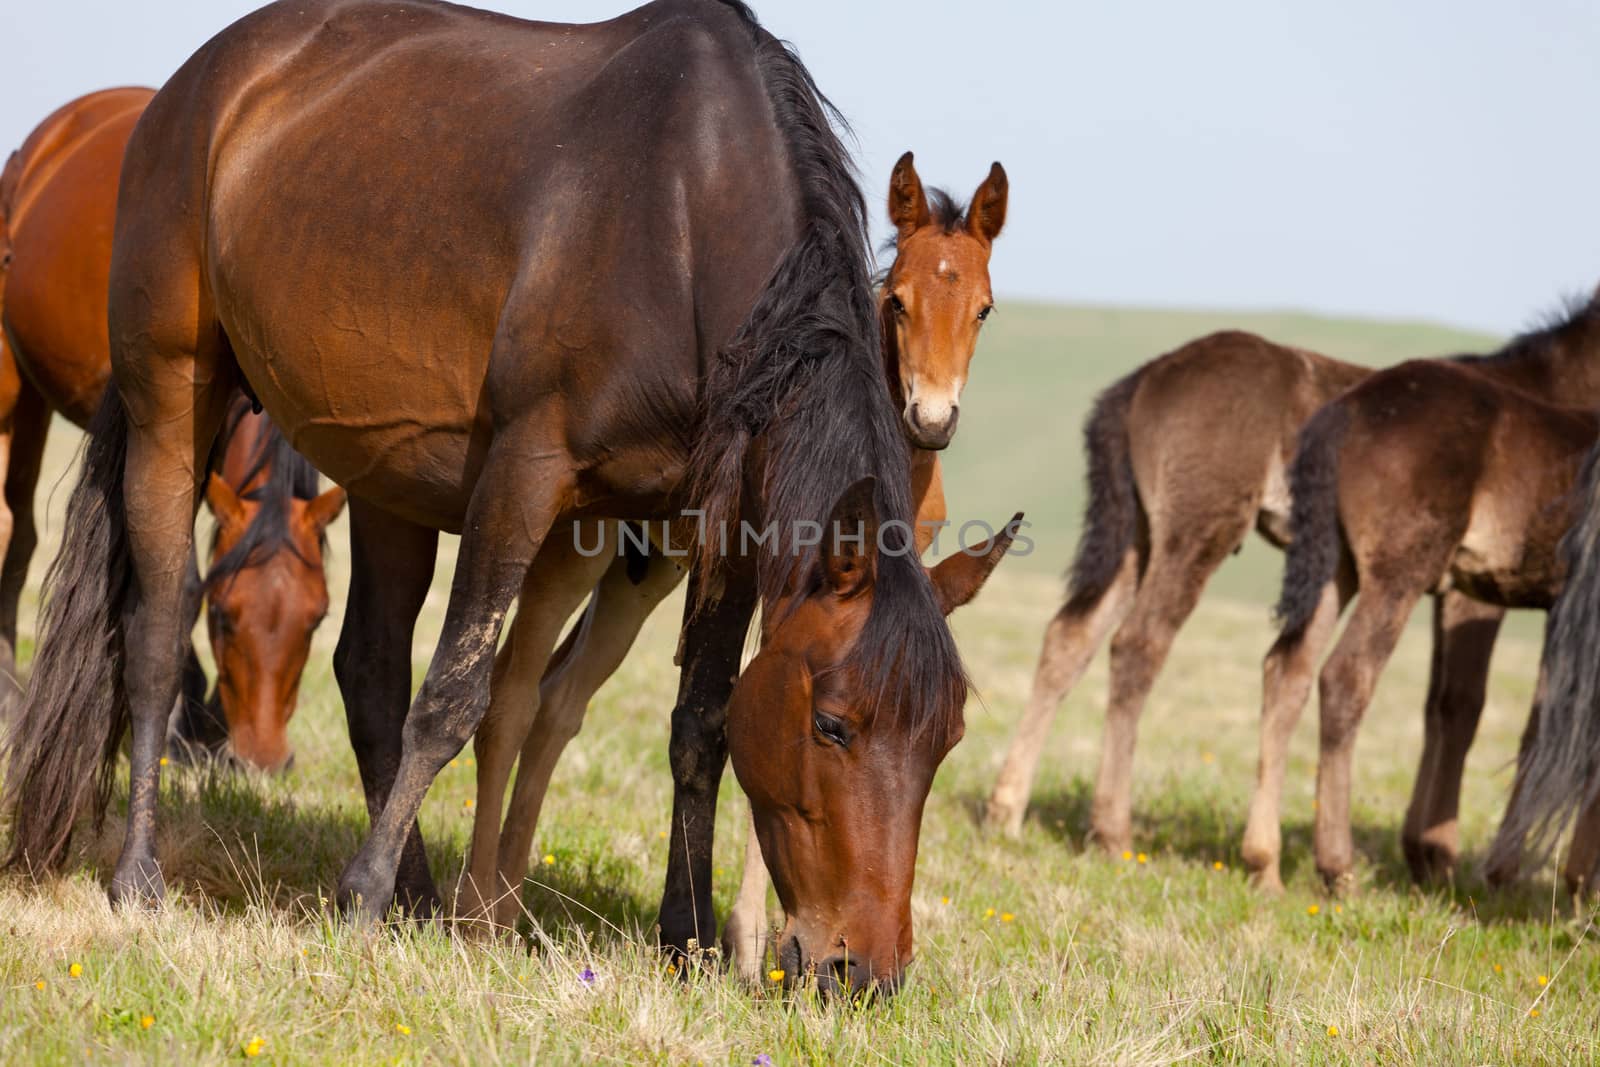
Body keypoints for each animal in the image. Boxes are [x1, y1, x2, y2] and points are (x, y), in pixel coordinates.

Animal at [0, 85, 344, 767]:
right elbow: (176, 579)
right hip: (18, 395)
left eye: (316, 618)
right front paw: (188, 723)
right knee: (13, 529)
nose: (264, 760)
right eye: (224, 616)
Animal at [457, 151, 1004, 959]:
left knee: (557, 701)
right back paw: (484, 908)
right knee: (515, 688)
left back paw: (508, 901)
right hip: (576, 551)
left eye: (984, 309)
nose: (931, 418)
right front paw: (752, 940)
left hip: (640, 576)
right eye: (898, 300)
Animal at [1248, 292, 1600, 895]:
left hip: (1335, 570)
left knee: (1287, 670)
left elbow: (1480, 713)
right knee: (1346, 677)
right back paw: (1337, 867)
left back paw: (1264, 863)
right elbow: (1473, 709)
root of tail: (1345, 413)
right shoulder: (1480, 597)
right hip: (1397, 575)